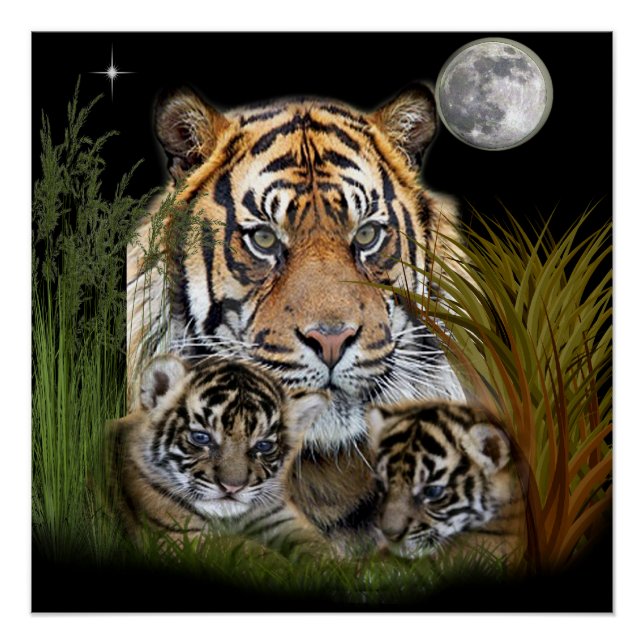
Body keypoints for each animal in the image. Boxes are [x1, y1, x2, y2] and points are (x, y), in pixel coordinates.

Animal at [110, 353, 329, 548]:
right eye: (201, 437)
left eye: (263, 446)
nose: (232, 488)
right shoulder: (181, 535)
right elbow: (250, 551)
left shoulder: (281, 517)